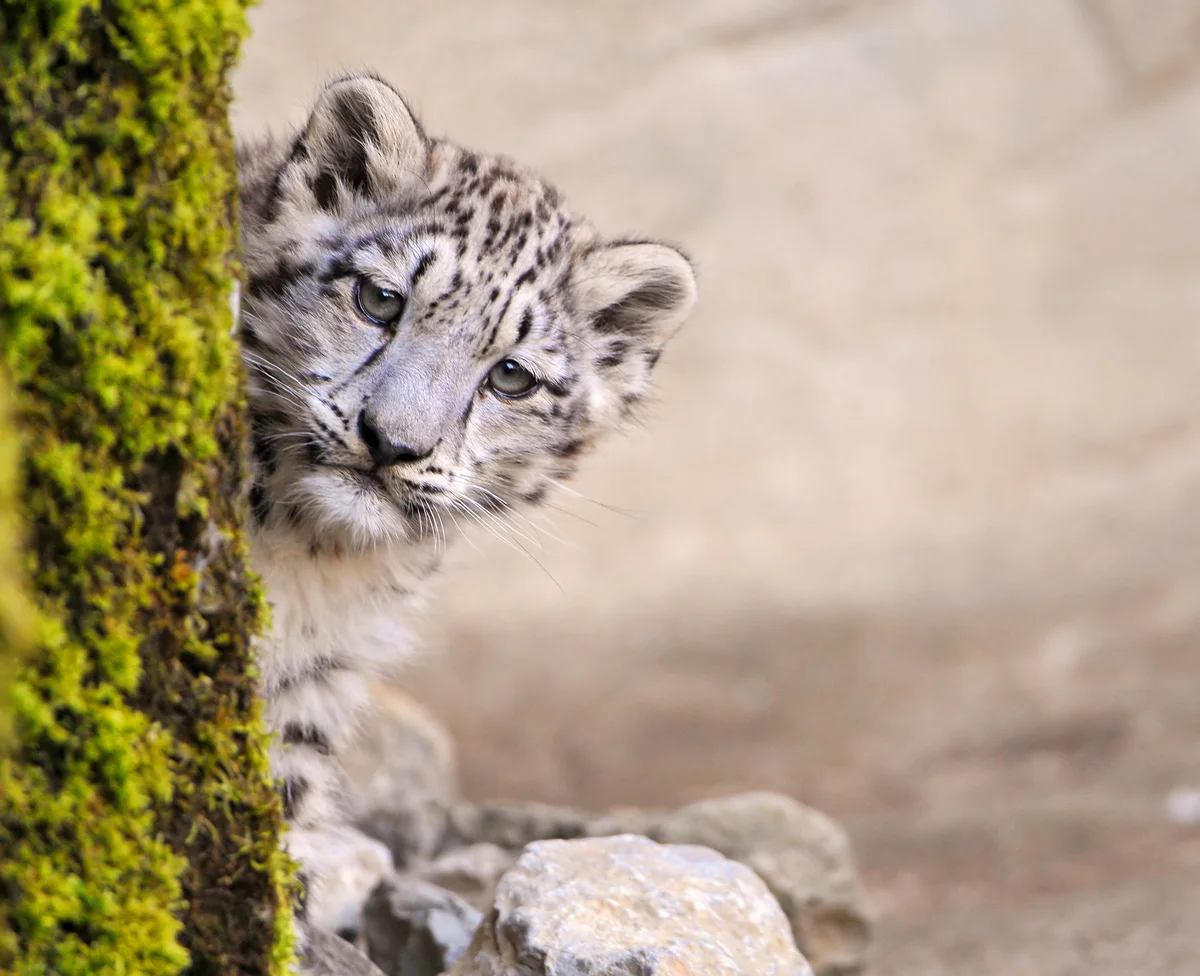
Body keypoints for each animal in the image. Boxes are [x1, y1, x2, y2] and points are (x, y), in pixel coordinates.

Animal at [234, 72, 696, 960]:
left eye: (512, 377)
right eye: (379, 299)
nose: (392, 441)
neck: (313, 558)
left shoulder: (320, 667)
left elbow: (285, 774)